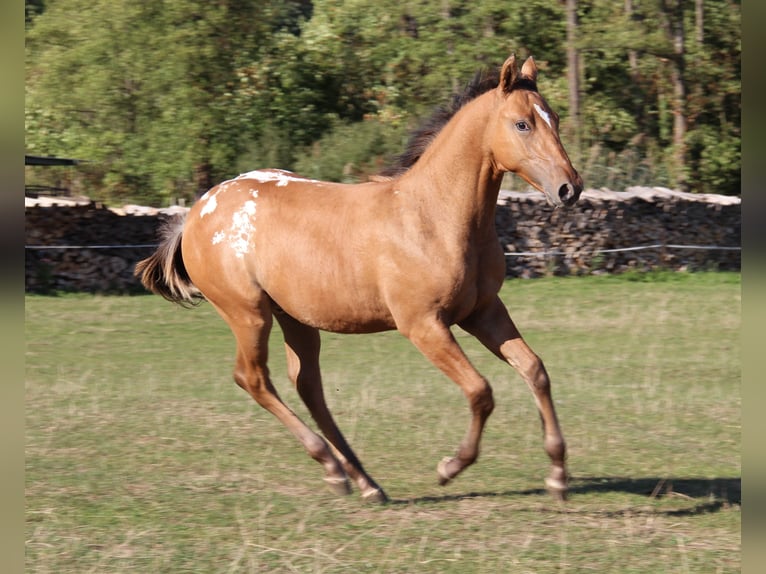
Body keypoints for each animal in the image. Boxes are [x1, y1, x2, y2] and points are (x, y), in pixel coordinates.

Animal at [136, 53, 583, 503]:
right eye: (522, 124)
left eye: (556, 118)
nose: (570, 188)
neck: (434, 216)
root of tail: (197, 211)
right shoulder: (423, 325)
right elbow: (480, 391)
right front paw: (450, 467)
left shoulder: (483, 312)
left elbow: (535, 370)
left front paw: (558, 474)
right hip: (248, 314)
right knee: (254, 378)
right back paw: (334, 466)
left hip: (295, 318)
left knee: (307, 385)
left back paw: (363, 481)